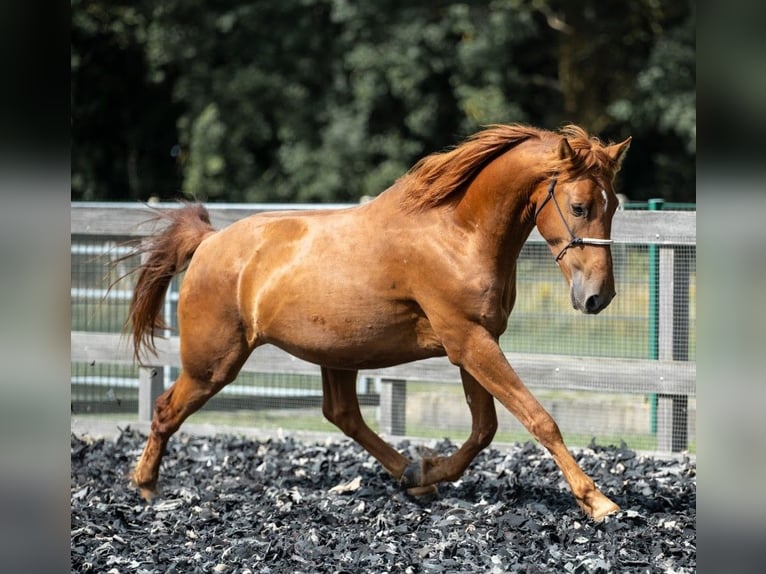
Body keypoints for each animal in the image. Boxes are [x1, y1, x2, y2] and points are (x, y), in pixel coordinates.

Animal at [125, 124, 631, 521]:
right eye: (580, 206)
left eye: (614, 206)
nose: (597, 297)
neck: (458, 235)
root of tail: (208, 242)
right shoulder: (468, 341)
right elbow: (538, 419)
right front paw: (599, 502)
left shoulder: (475, 342)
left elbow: (484, 429)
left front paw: (427, 471)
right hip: (214, 362)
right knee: (166, 410)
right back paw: (145, 486)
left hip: (335, 353)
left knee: (342, 414)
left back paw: (410, 473)